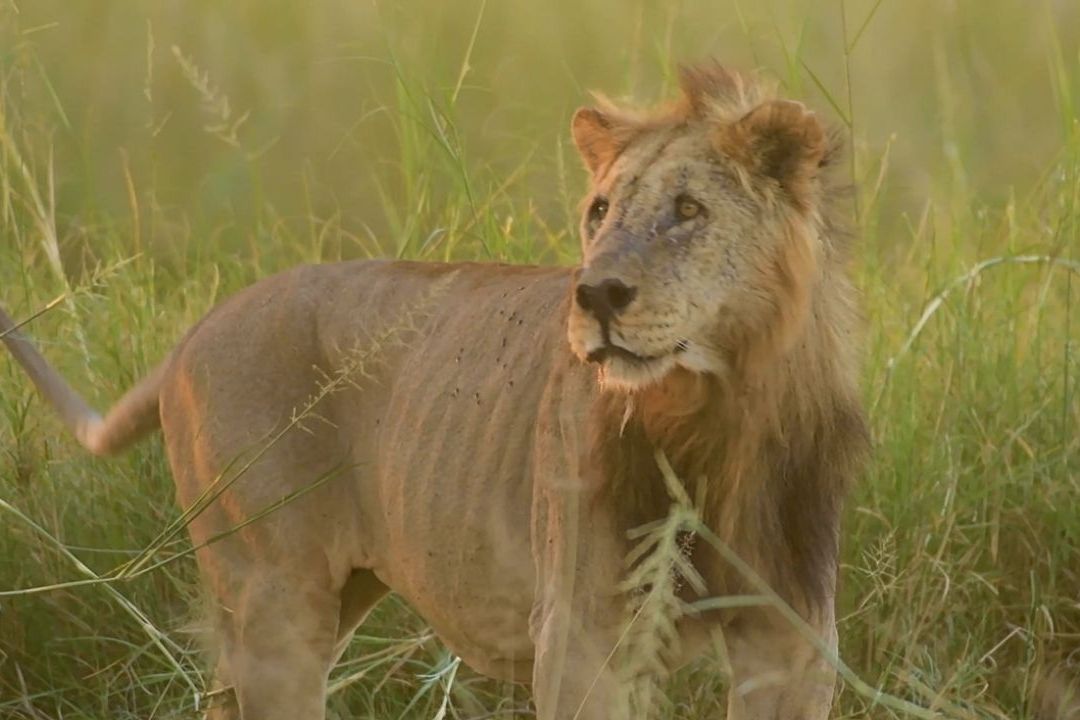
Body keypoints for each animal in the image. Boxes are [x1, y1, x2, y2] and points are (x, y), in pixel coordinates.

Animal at [0, 62, 867, 719]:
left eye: (688, 209)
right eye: (599, 210)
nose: (595, 295)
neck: (717, 411)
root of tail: (198, 330)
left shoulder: (791, 639)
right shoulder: (582, 636)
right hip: (276, 596)